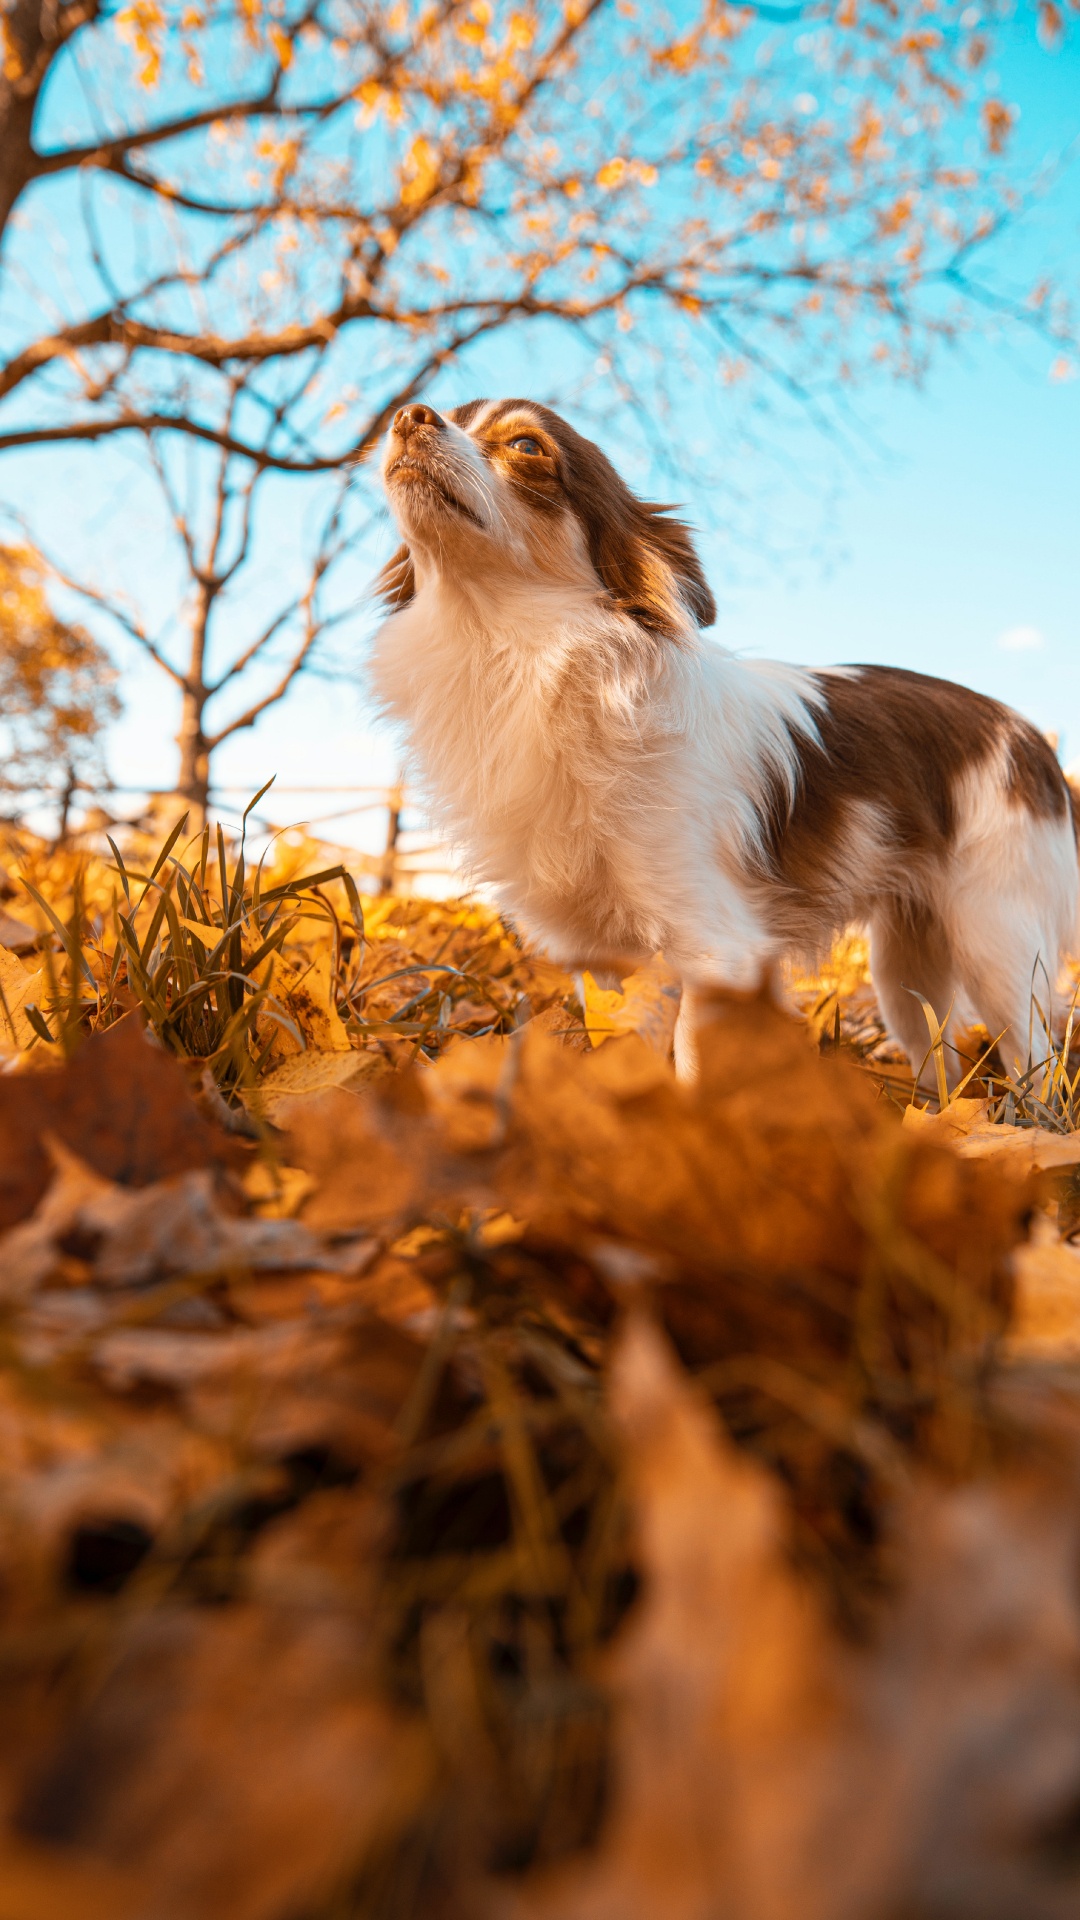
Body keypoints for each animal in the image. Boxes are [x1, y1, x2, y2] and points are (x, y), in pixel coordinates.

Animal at [367, 393, 1068, 1082]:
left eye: (525, 446)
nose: (409, 414)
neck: (522, 656)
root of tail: (1032, 737)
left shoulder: (718, 950)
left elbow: (694, 1068)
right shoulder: (604, 962)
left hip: (995, 940)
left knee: (1034, 1057)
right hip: (907, 964)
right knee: (939, 1062)